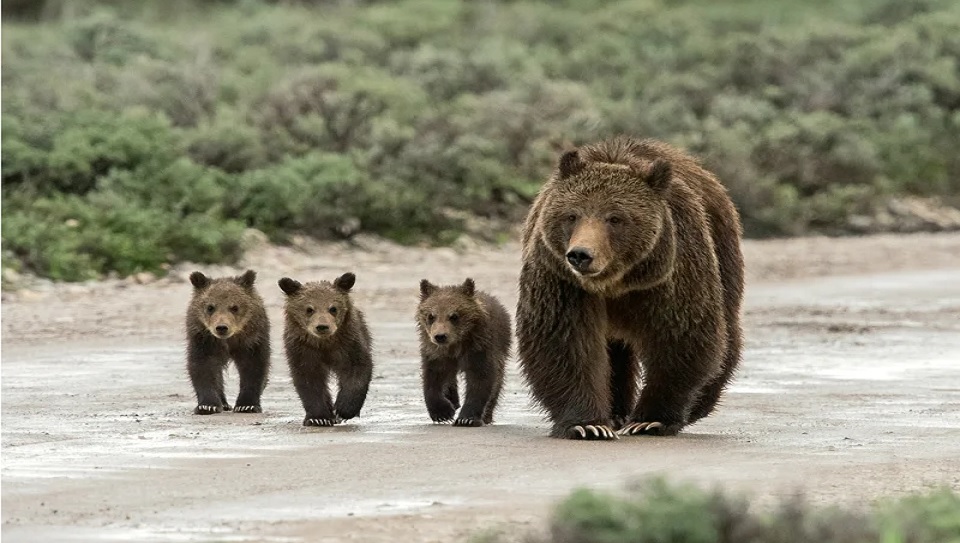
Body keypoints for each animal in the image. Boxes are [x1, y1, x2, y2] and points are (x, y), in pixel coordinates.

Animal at [187, 270, 270, 416]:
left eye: (234, 307)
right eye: (210, 307)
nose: (221, 327)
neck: (228, 340)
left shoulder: (252, 340)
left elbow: (254, 367)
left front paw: (247, 405)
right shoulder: (204, 340)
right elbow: (203, 367)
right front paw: (207, 406)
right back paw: (224, 403)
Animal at [280, 274, 374, 428]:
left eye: (333, 308)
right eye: (309, 309)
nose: (322, 326)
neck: (324, 343)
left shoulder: (348, 344)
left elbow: (357, 370)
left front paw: (343, 410)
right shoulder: (303, 350)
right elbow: (309, 380)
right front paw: (319, 418)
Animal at [416, 278, 512, 428]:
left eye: (454, 316)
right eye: (431, 315)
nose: (440, 336)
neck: (455, 345)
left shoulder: (479, 348)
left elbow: (480, 379)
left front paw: (466, 419)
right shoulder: (435, 352)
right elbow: (433, 377)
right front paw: (442, 413)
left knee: (498, 380)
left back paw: (487, 415)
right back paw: (453, 400)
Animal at [512, 137, 748, 442]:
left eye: (615, 218)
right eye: (572, 215)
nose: (580, 255)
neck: (615, 281)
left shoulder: (670, 274)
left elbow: (682, 336)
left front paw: (649, 420)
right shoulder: (561, 278)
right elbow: (563, 340)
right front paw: (587, 424)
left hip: (722, 250)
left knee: (727, 329)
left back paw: (699, 404)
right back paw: (615, 412)